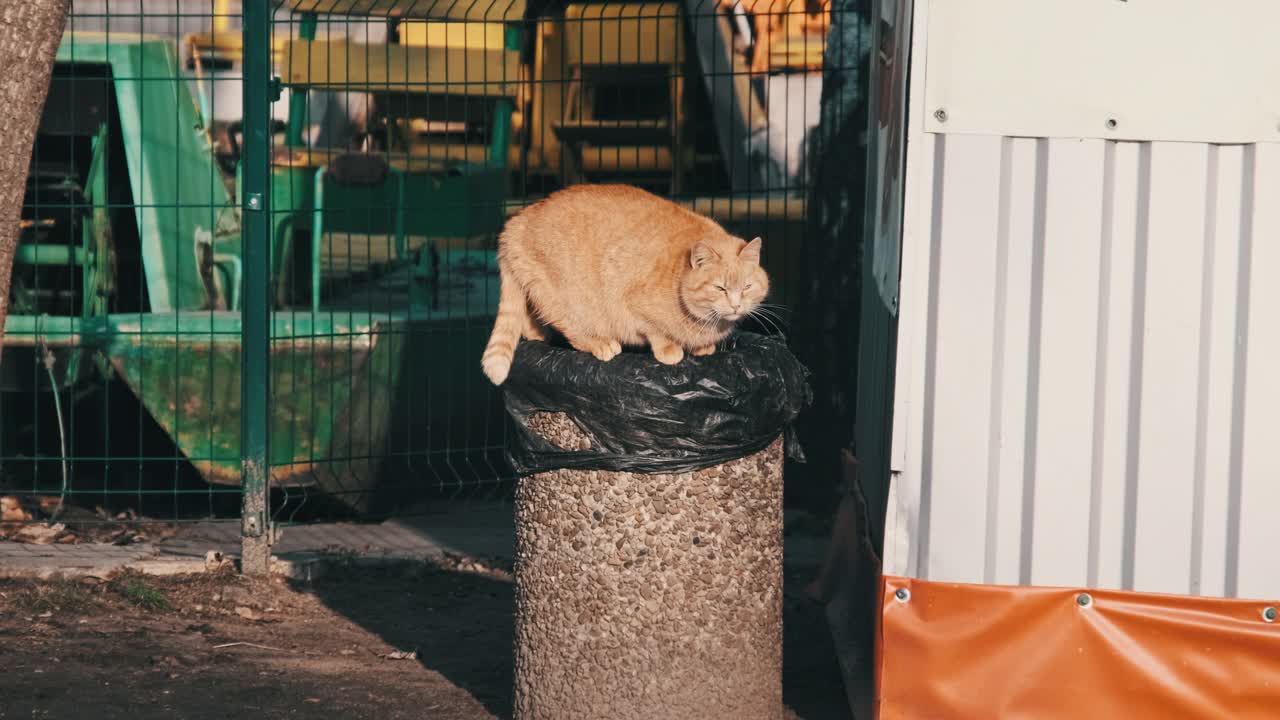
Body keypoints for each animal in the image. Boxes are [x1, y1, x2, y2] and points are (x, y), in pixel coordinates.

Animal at [478, 185, 757, 386]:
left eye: (747, 287)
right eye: (720, 288)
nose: (736, 306)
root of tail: (517, 220)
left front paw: (701, 347)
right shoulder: (634, 306)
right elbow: (655, 331)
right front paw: (669, 349)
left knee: (527, 318)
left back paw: (536, 334)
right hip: (566, 298)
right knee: (569, 328)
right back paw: (599, 343)